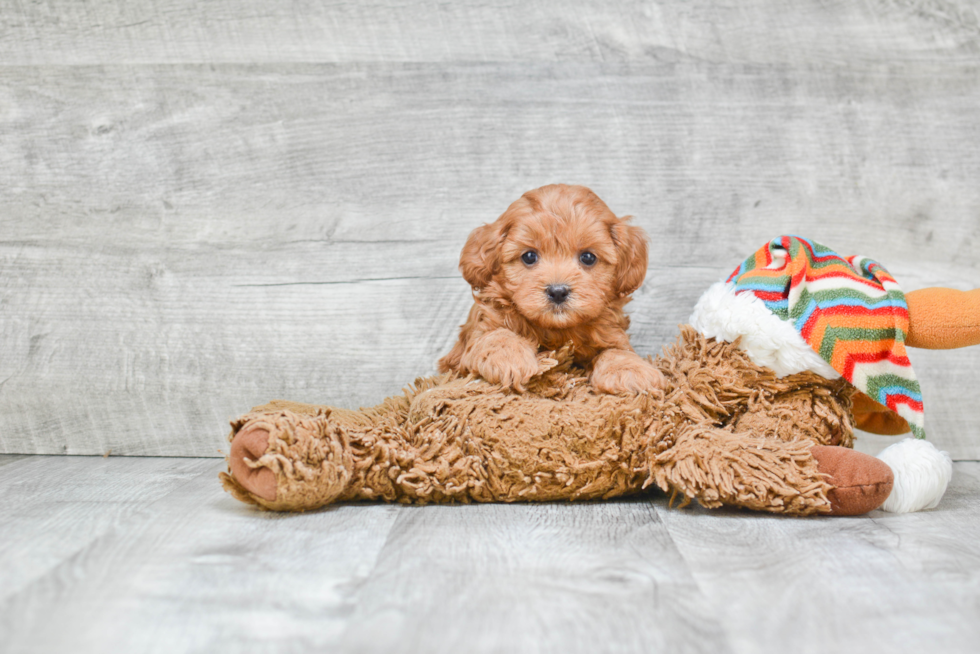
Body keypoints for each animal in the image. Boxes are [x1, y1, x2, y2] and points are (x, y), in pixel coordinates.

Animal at [438, 183, 664, 394]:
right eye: (529, 256)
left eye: (588, 257)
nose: (557, 292)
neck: (556, 331)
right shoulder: (472, 338)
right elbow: (495, 335)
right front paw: (509, 358)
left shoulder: (610, 333)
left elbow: (615, 350)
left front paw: (631, 370)